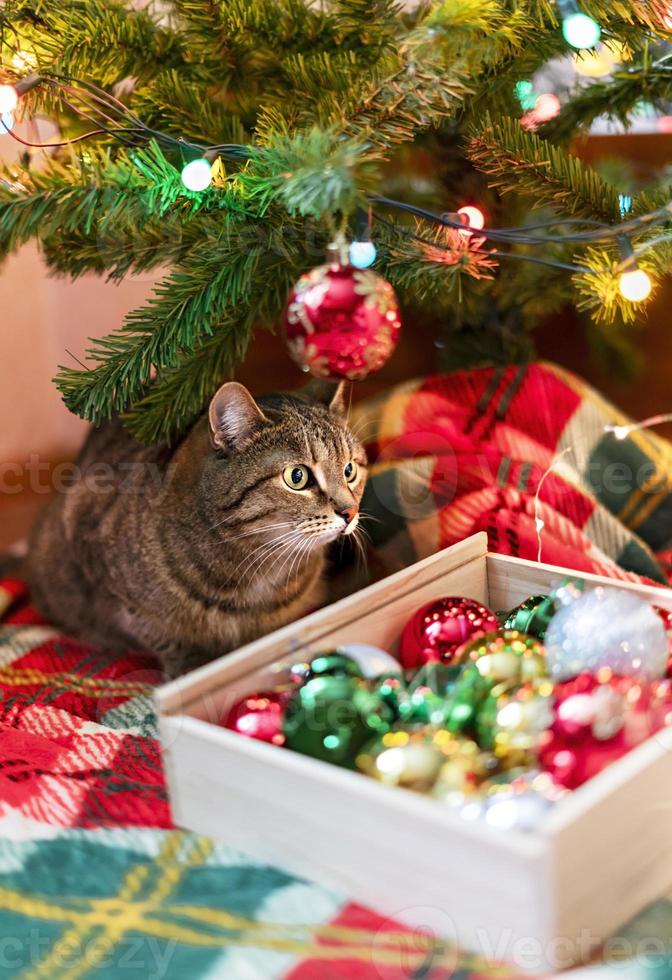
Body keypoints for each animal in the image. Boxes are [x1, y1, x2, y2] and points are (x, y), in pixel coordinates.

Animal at [25, 380, 368, 672]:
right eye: (297, 477)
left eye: (349, 470)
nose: (349, 512)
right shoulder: (113, 584)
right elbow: (167, 637)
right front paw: (190, 667)